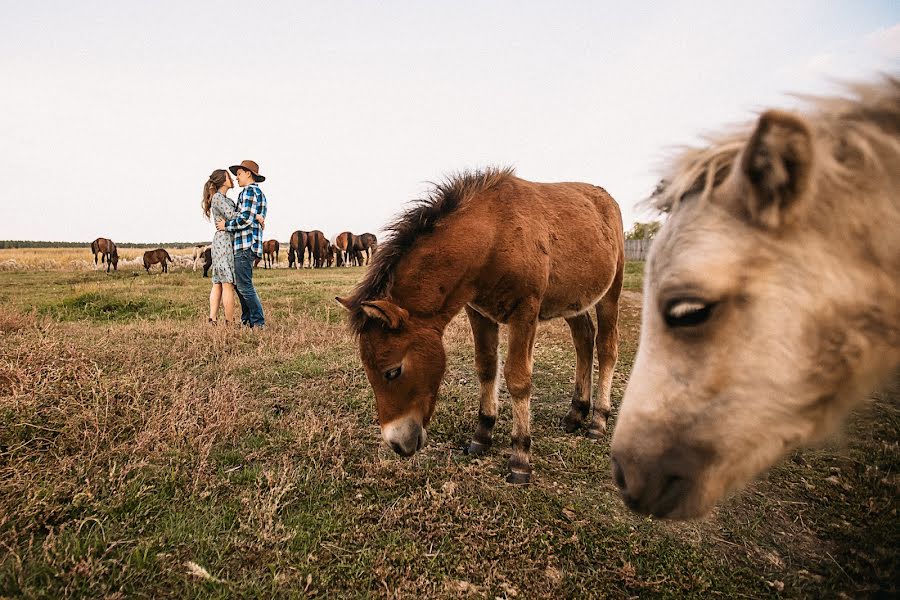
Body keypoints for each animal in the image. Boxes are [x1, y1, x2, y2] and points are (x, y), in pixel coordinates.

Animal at [338, 168, 624, 482]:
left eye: (393, 372)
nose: (398, 445)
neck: (494, 236)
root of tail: (606, 198)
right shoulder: (478, 312)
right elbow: (486, 367)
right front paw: (482, 434)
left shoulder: (525, 311)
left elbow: (518, 379)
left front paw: (520, 457)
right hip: (573, 300)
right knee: (584, 339)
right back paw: (576, 412)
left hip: (610, 292)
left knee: (606, 348)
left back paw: (598, 420)